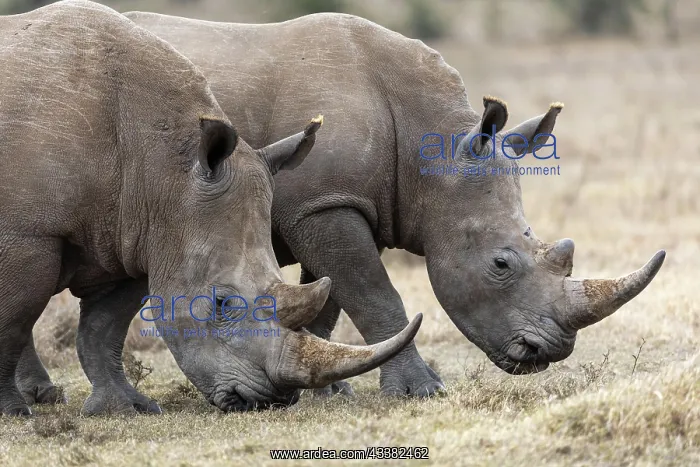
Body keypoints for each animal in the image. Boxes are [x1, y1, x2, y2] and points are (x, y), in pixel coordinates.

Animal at [0, 1, 423, 416]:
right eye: (221, 302)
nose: (271, 400)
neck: (165, 169)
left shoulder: (134, 232)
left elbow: (103, 328)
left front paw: (125, 408)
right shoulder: (27, 233)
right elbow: (13, 320)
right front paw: (12, 412)